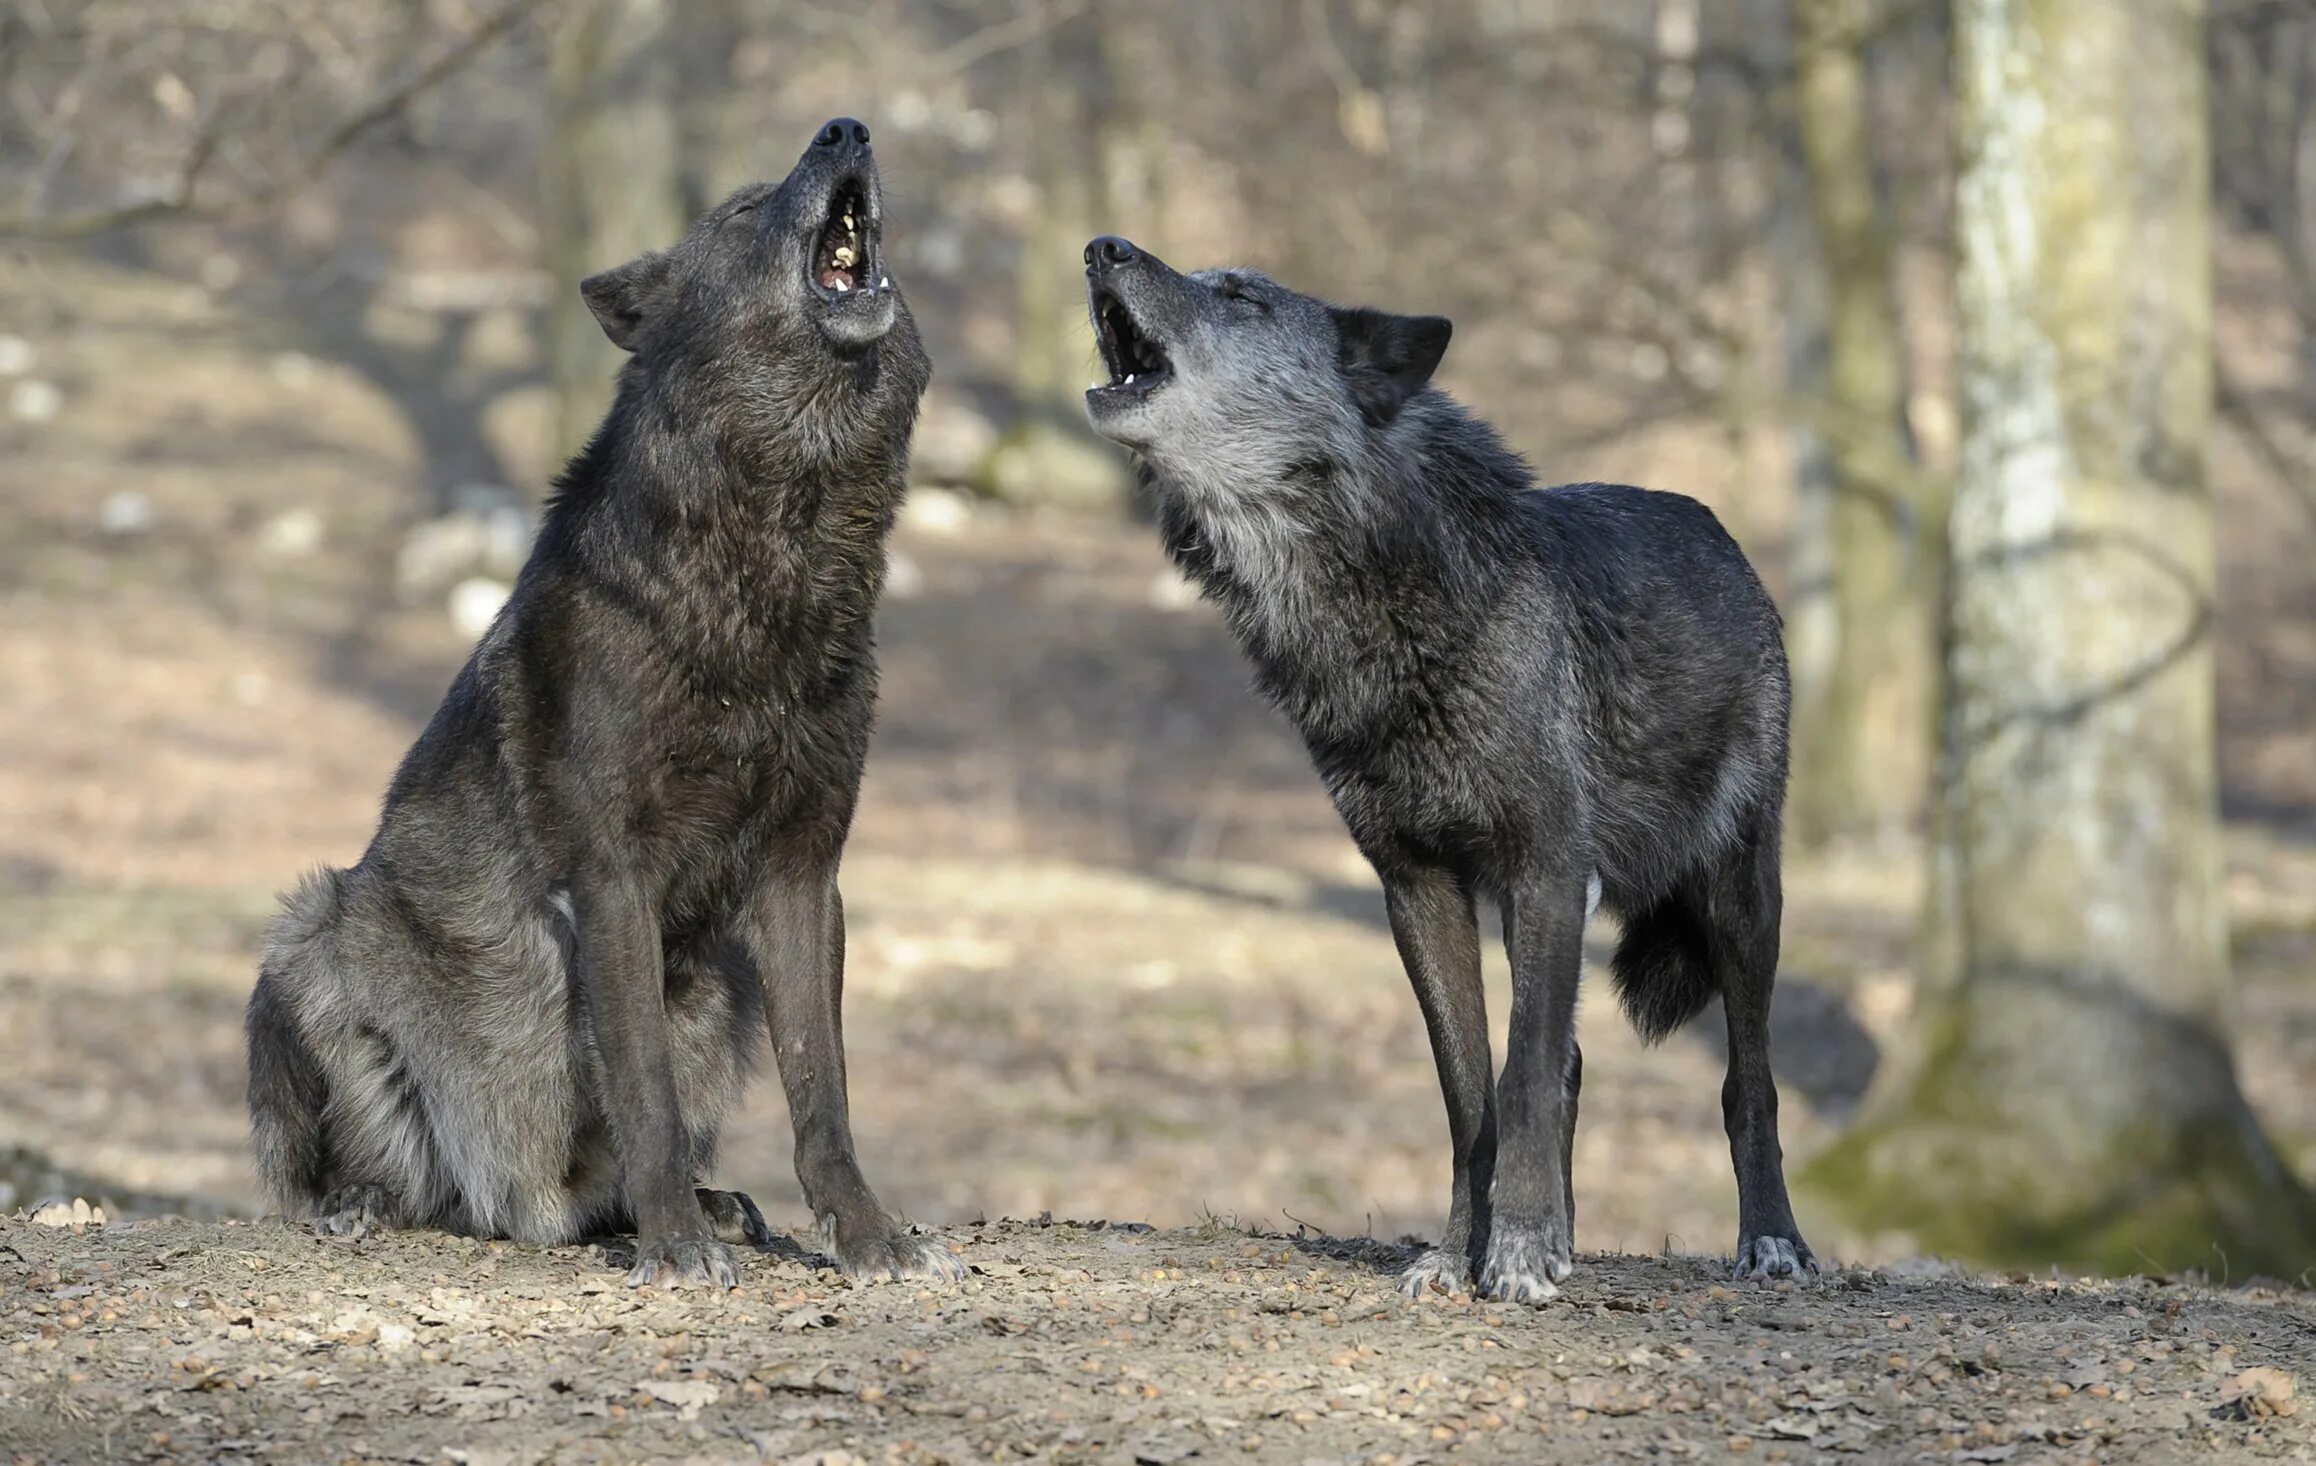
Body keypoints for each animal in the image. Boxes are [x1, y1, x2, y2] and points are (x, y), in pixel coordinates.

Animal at [237, 119, 958, 1287]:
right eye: (746, 207)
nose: (846, 128)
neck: (778, 541)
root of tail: (523, 1206)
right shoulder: (614, 875)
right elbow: (642, 1088)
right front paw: (671, 1245)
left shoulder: (806, 874)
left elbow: (824, 1093)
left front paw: (866, 1235)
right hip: (312, 933)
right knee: (367, 1177)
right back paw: (370, 1198)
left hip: (716, 993)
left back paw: (701, 1206)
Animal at [1074, 237, 1815, 1306]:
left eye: (1241, 296)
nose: (1102, 247)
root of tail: (1721, 534)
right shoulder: (1417, 885)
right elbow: (1472, 1092)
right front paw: (1466, 1250)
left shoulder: (1547, 869)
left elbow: (1521, 1072)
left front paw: (1518, 1253)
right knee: (1574, 1064)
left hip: (1740, 899)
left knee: (1744, 1081)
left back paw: (1772, 1242)